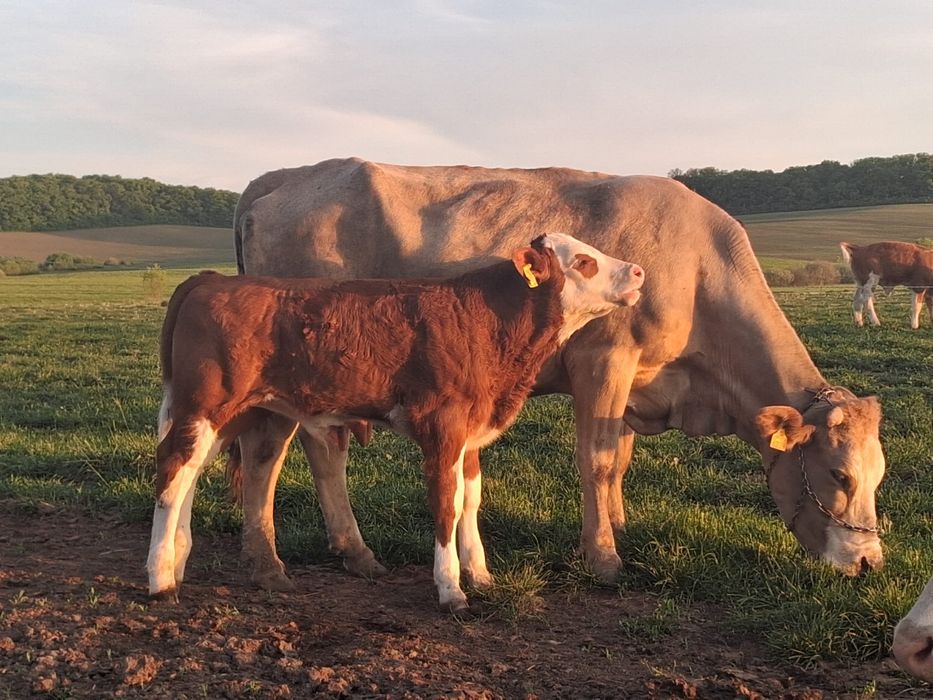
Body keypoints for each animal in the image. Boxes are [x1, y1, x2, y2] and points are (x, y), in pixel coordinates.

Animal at [146, 233, 645, 612]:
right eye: (583, 261)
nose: (639, 272)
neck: (486, 321)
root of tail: (212, 281)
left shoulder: (469, 433)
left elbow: (471, 500)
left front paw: (481, 575)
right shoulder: (443, 427)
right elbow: (446, 503)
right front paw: (451, 589)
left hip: (227, 412)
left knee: (190, 472)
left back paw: (178, 562)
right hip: (206, 403)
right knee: (173, 469)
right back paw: (160, 580)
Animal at [231, 159, 887, 591]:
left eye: (879, 477)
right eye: (839, 474)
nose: (870, 563)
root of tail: (286, 176)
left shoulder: (636, 379)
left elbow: (618, 460)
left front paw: (618, 525)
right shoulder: (604, 358)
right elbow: (596, 458)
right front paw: (603, 557)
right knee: (281, 452)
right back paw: (290, 560)